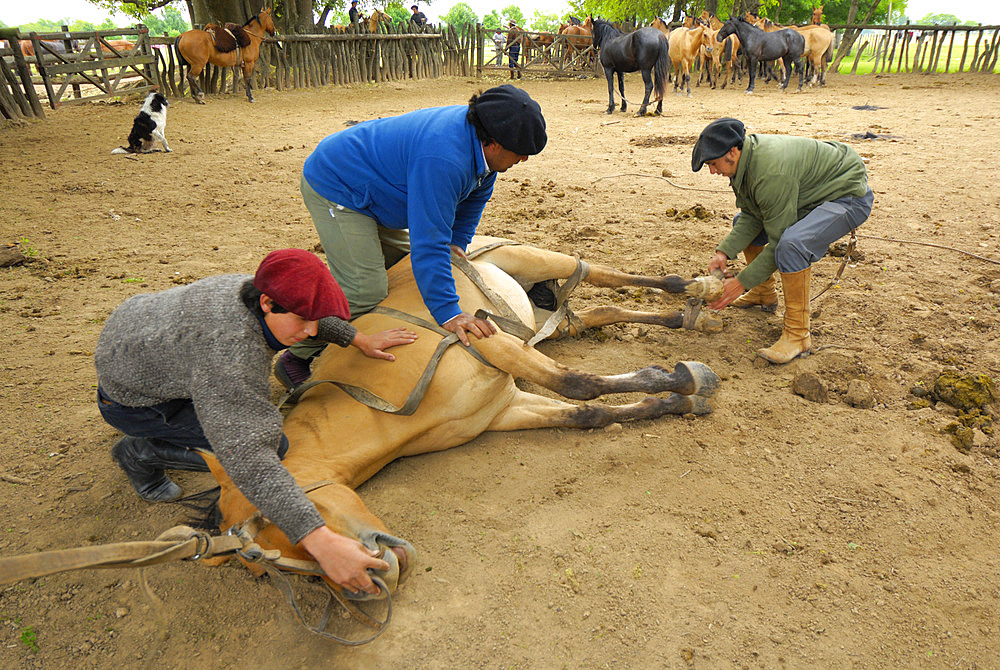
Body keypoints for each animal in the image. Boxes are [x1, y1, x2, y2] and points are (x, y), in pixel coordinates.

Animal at [205, 236, 720, 616]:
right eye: (277, 571)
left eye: (286, 516)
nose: (362, 590)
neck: (375, 401)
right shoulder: (504, 409)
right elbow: (589, 412)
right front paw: (679, 400)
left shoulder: (491, 343)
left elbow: (578, 384)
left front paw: (686, 379)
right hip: (543, 320)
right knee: (593, 314)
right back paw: (687, 318)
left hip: (529, 259)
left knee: (597, 270)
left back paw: (703, 290)